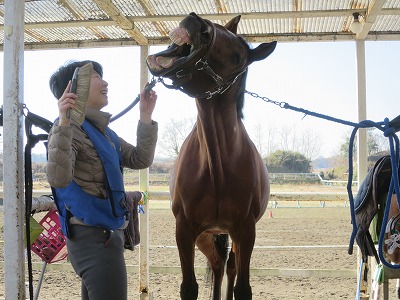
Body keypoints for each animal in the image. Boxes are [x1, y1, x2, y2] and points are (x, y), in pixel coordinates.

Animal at [146, 12, 276, 298]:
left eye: (238, 57)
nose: (197, 23)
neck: (218, 167)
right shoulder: (184, 230)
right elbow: (189, 287)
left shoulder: (246, 231)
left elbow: (243, 288)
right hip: (205, 235)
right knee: (218, 264)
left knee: (230, 266)